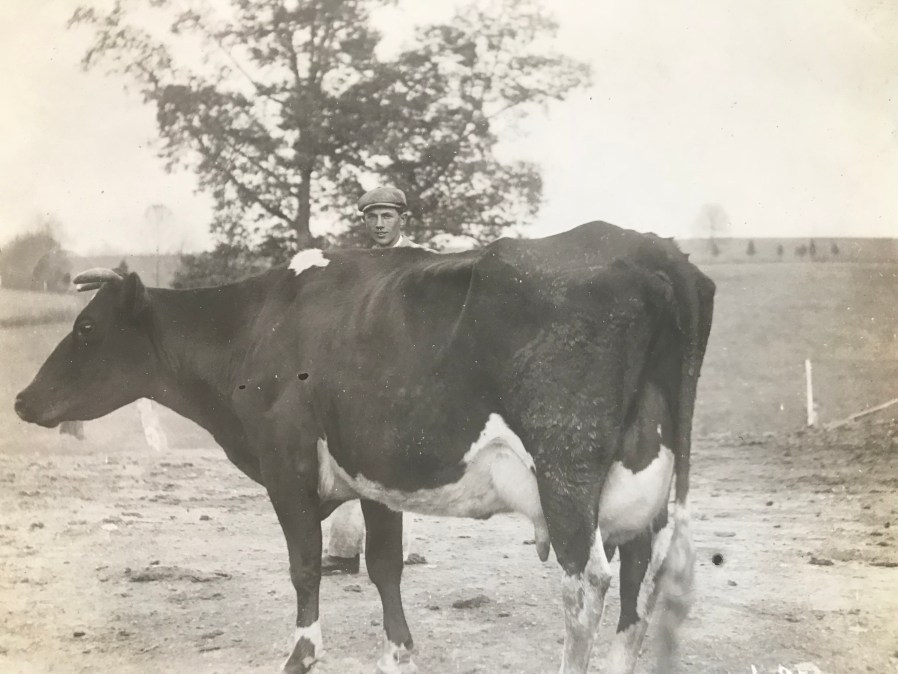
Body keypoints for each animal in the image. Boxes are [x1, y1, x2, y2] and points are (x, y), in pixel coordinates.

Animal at [15, 221, 715, 674]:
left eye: (86, 328)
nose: (21, 400)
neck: (258, 325)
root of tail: (654, 250)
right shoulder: (379, 474)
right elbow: (384, 565)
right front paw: (398, 654)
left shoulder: (288, 466)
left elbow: (303, 565)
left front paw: (300, 655)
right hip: (639, 481)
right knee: (637, 578)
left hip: (566, 474)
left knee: (586, 583)